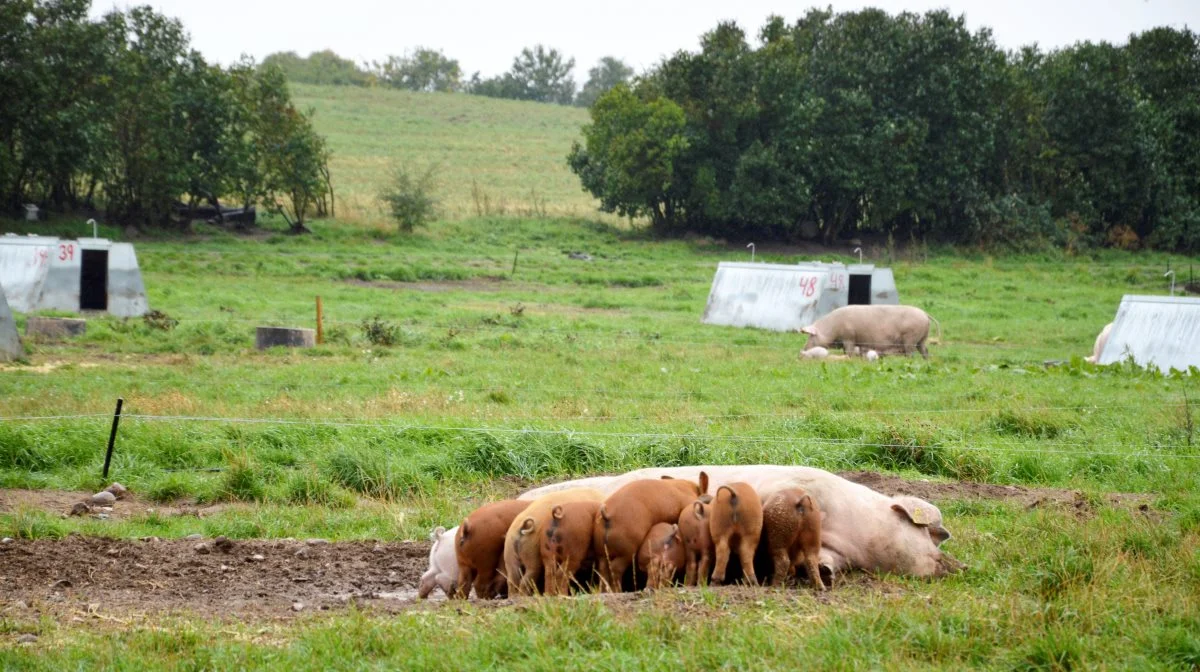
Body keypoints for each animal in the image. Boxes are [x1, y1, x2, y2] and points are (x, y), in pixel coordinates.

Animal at [801, 303, 940, 357]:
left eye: (811, 336)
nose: (803, 350)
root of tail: (925, 314)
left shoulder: (849, 337)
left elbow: (849, 351)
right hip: (921, 339)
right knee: (925, 350)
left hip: (910, 337)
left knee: (910, 353)